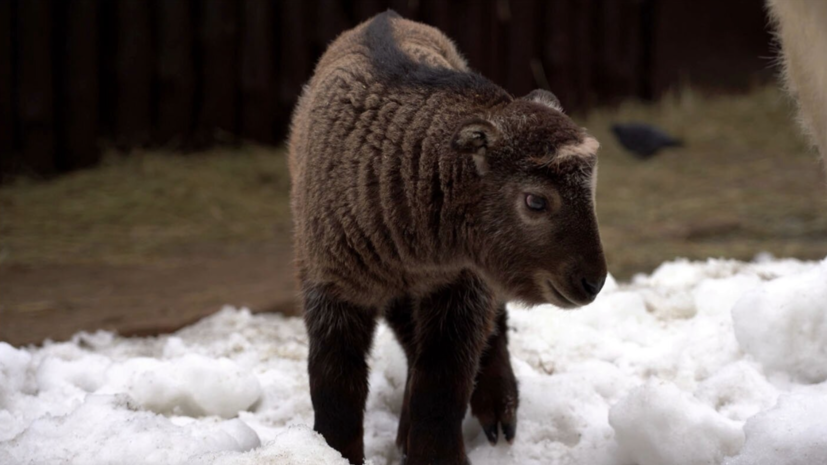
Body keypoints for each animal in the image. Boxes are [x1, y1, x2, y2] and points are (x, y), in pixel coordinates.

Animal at [290, 11, 608, 464]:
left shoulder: (461, 284)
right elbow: (336, 391)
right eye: (535, 200)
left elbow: (442, 387)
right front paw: (330, 451)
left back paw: (498, 411)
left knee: (486, 332)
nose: (592, 282)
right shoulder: (333, 285)